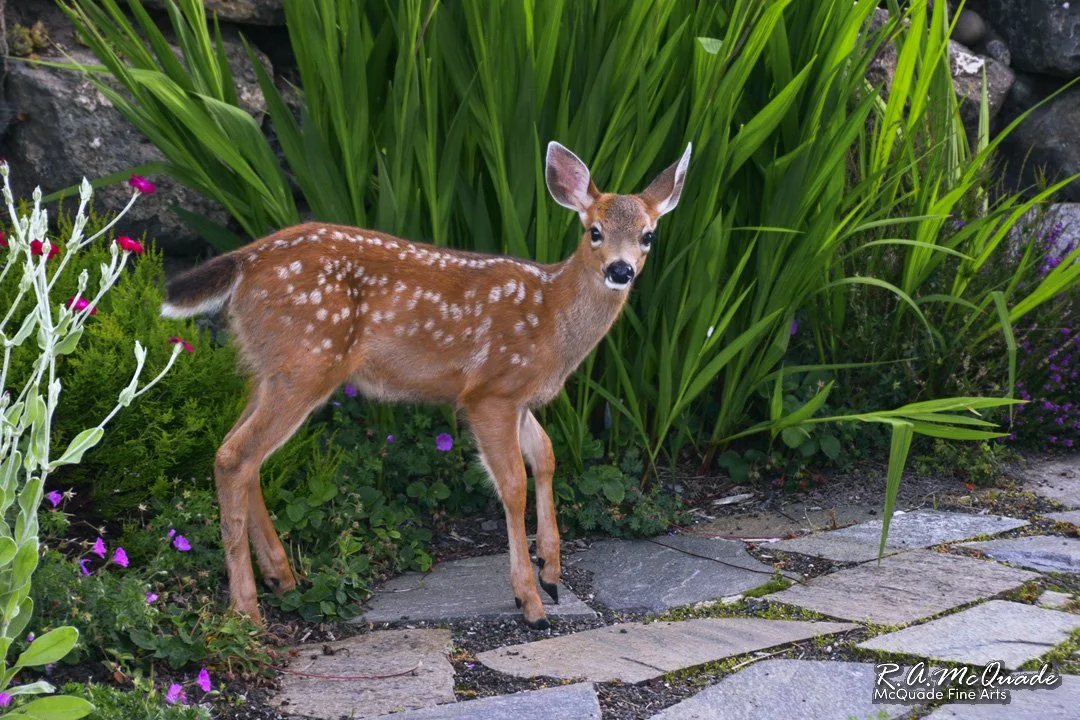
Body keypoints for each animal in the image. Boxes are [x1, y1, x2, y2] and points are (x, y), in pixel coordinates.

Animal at [160, 141, 691, 629]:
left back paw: (282, 577)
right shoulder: (489, 392)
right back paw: (246, 612)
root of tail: (244, 260)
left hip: (268, 368)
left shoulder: (518, 399)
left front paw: (552, 574)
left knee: (240, 453)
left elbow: (546, 456)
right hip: (306, 361)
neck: (551, 320)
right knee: (236, 456)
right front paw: (531, 602)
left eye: (648, 235)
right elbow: (513, 484)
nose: (620, 270)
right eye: (594, 231)